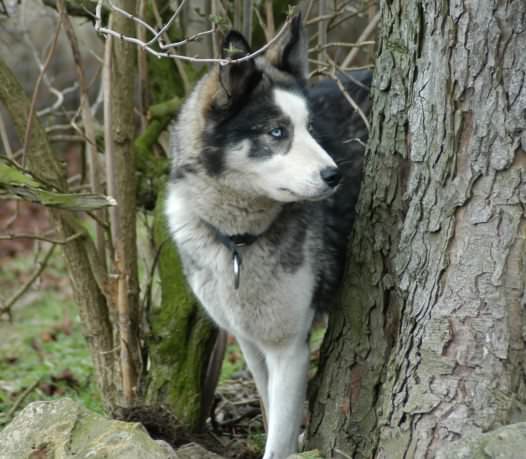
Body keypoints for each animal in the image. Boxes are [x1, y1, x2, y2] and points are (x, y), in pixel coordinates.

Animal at [166, 14, 372, 459]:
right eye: (277, 132)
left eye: (310, 128)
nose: (334, 175)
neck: (238, 242)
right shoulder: (251, 342)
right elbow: (269, 407)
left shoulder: (288, 349)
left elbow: (278, 439)